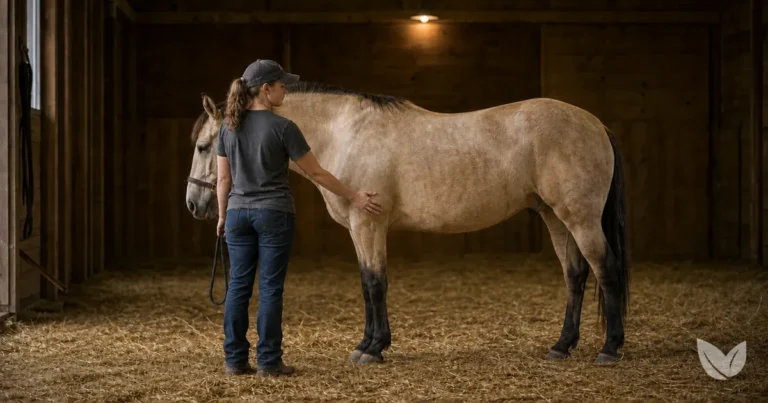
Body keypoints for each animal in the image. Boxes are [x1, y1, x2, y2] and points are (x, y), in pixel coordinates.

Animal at [185, 81, 630, 365]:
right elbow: (368, 283)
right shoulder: (361, 229)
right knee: (575, 276)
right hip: (556, 217)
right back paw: (561, 346)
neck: (344, 134)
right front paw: (370, 343)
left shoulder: (369, 225)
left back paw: (609, 350)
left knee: (605, 271)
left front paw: (372, 349)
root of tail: (596, 124)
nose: (194, 203)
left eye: (205, 146)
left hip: (580, 218)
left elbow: (375, 283)